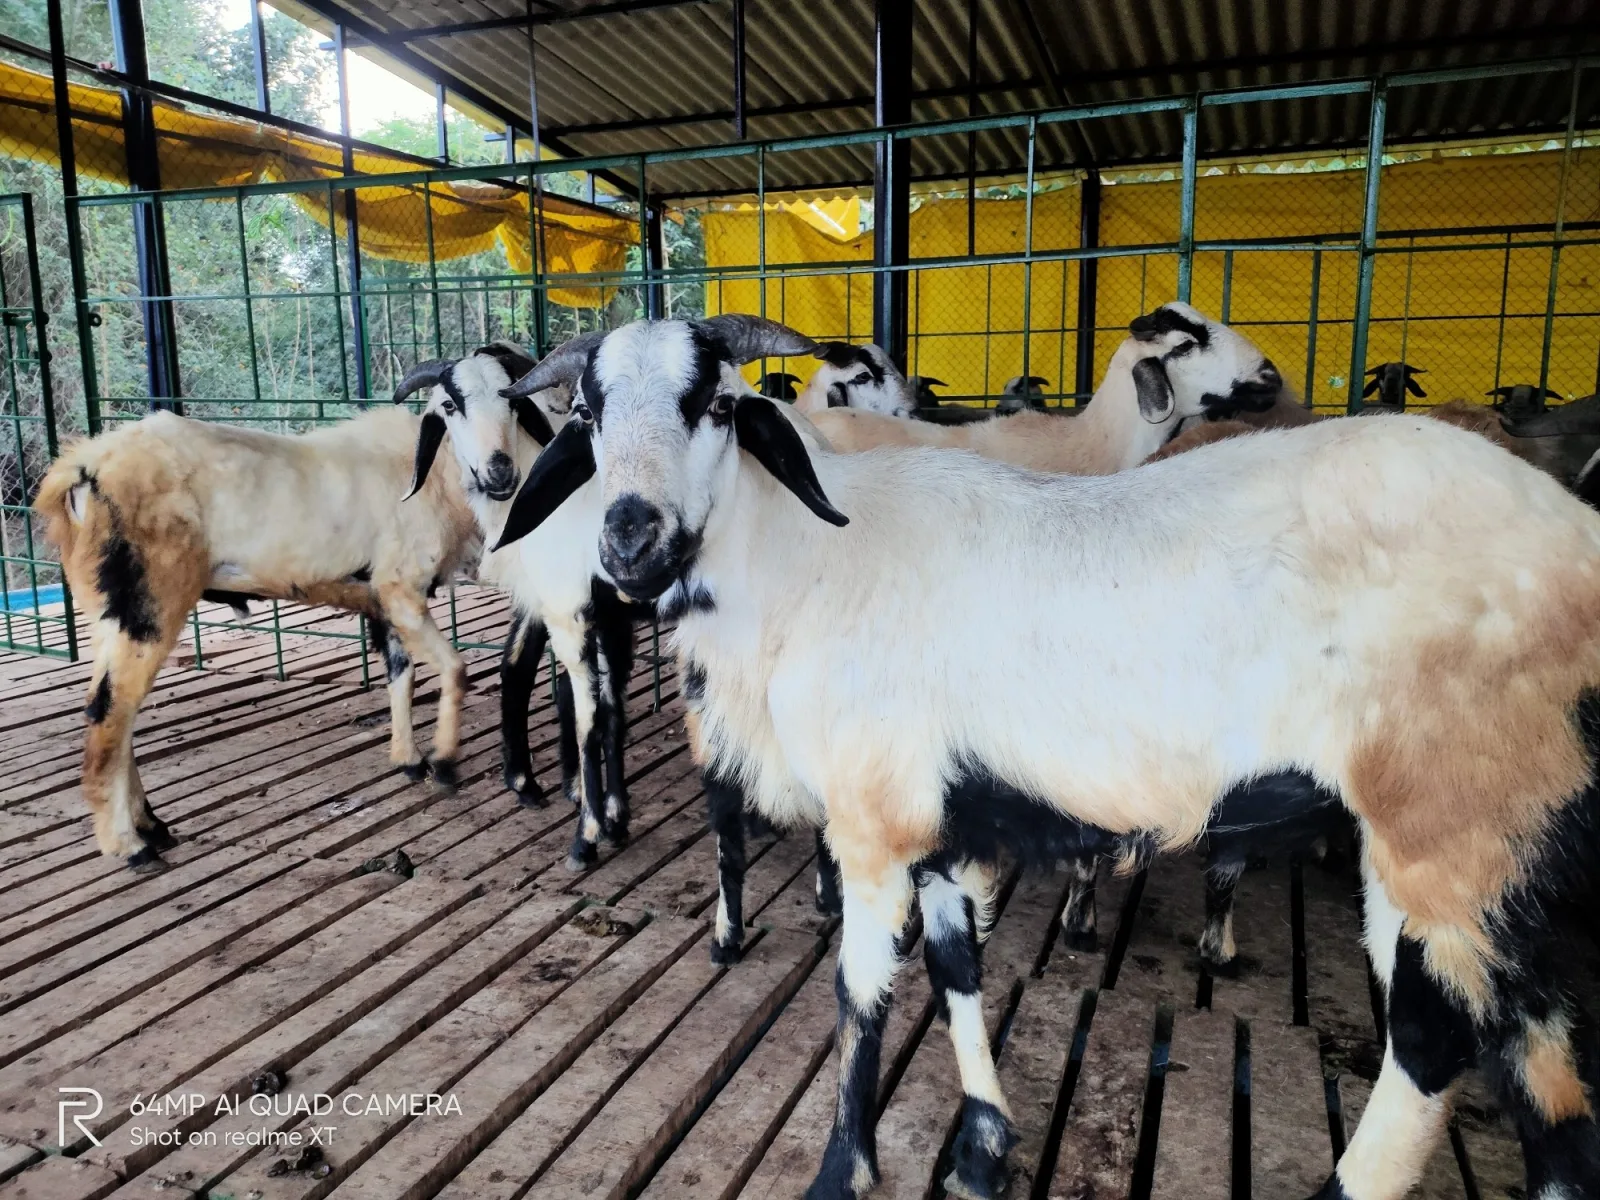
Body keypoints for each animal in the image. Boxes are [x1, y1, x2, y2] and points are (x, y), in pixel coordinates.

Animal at [34, 408, 479, 869]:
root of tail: (82, 469)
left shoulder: (382, 599)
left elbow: (400, 674)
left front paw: (410, 761)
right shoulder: (403, 586)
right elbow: (453, 667)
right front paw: (444, 765)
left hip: (106, 612)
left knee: (114, 711)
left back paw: (151, 827)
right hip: (149, 603)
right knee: (111, 710)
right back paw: (129, 845)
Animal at [494, 314, 1600, 1200]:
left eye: (720, 405)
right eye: (586, 410)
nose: (630, 541)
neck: (802, 562)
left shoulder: (871, 820)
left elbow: (860, 998)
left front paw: (844, 1167)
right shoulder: (938, 817)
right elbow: (956, 969)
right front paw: (982, 1147)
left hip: (1452, 823)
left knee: (1430, 1048)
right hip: (1501, 852)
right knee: (1546, 1087)